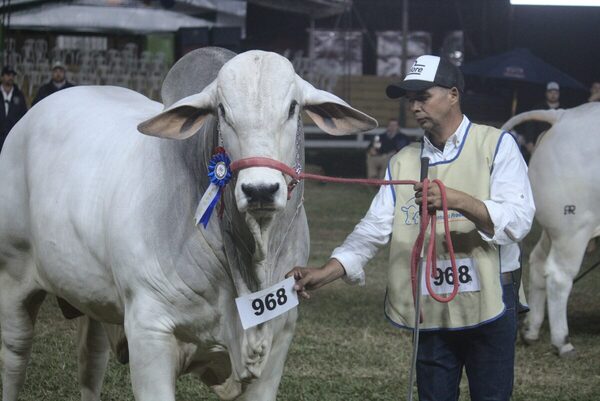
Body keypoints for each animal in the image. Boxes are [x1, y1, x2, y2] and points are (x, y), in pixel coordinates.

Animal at [0, 47, 376, 400]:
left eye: (293, 107)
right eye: (222, 110)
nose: (260, 190)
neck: (249, 260)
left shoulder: (280, 338)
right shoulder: (149, 332)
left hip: (91, 298)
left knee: (90, 363)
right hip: (13, 280)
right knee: (15, 358)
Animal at [502, 101, 600, 354]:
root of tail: (562, 115)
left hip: (553, 228)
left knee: (537, 261)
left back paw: (531, 330)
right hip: (573, 228)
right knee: (558, 275)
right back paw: (562, 342)